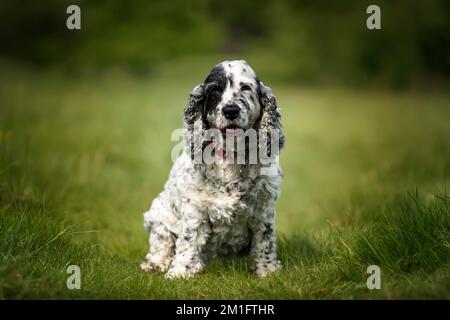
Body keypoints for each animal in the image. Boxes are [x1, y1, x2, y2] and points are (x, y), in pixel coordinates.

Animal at [141, 60, 284, 278]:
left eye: (245, 87)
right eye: (215, 90)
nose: (231, 110)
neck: (232, 156)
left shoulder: (264, 207)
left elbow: (265, 240)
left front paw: (267, 271)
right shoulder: (194, 208)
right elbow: (188, 240)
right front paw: (180, 273)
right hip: (157, 218)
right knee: (161, 245)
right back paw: (156, 265)